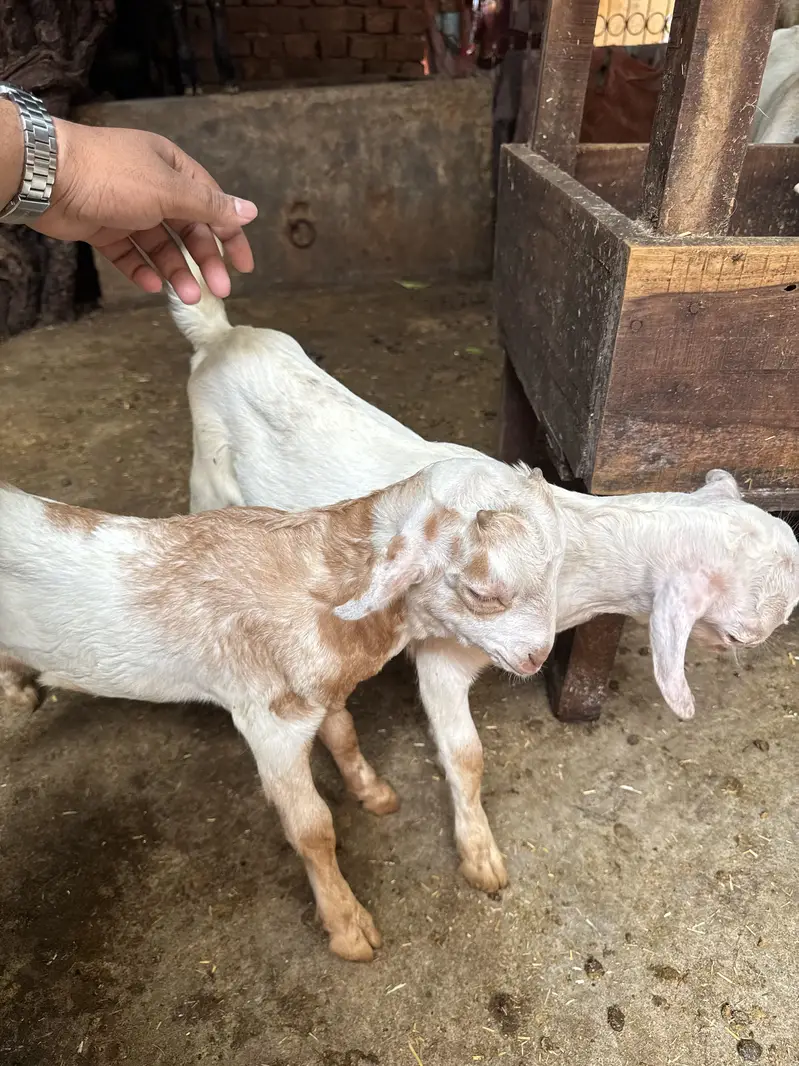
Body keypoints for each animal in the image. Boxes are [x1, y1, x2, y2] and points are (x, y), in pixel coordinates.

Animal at [0, 458, 563, 960]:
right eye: (481, 593)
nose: (539, 657)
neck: (318, 581)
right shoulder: (269, 721)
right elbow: (312, 828)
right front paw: (348, 928)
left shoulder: (316, 689)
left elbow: (344, 733)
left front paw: (370, 790)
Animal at [171, 278, 799, 897]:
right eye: (742, 635)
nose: (762, 639)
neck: (573, 553)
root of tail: (221, 336)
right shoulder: (446, 650)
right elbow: (467, 754)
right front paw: (480, 857)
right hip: (207, 473)